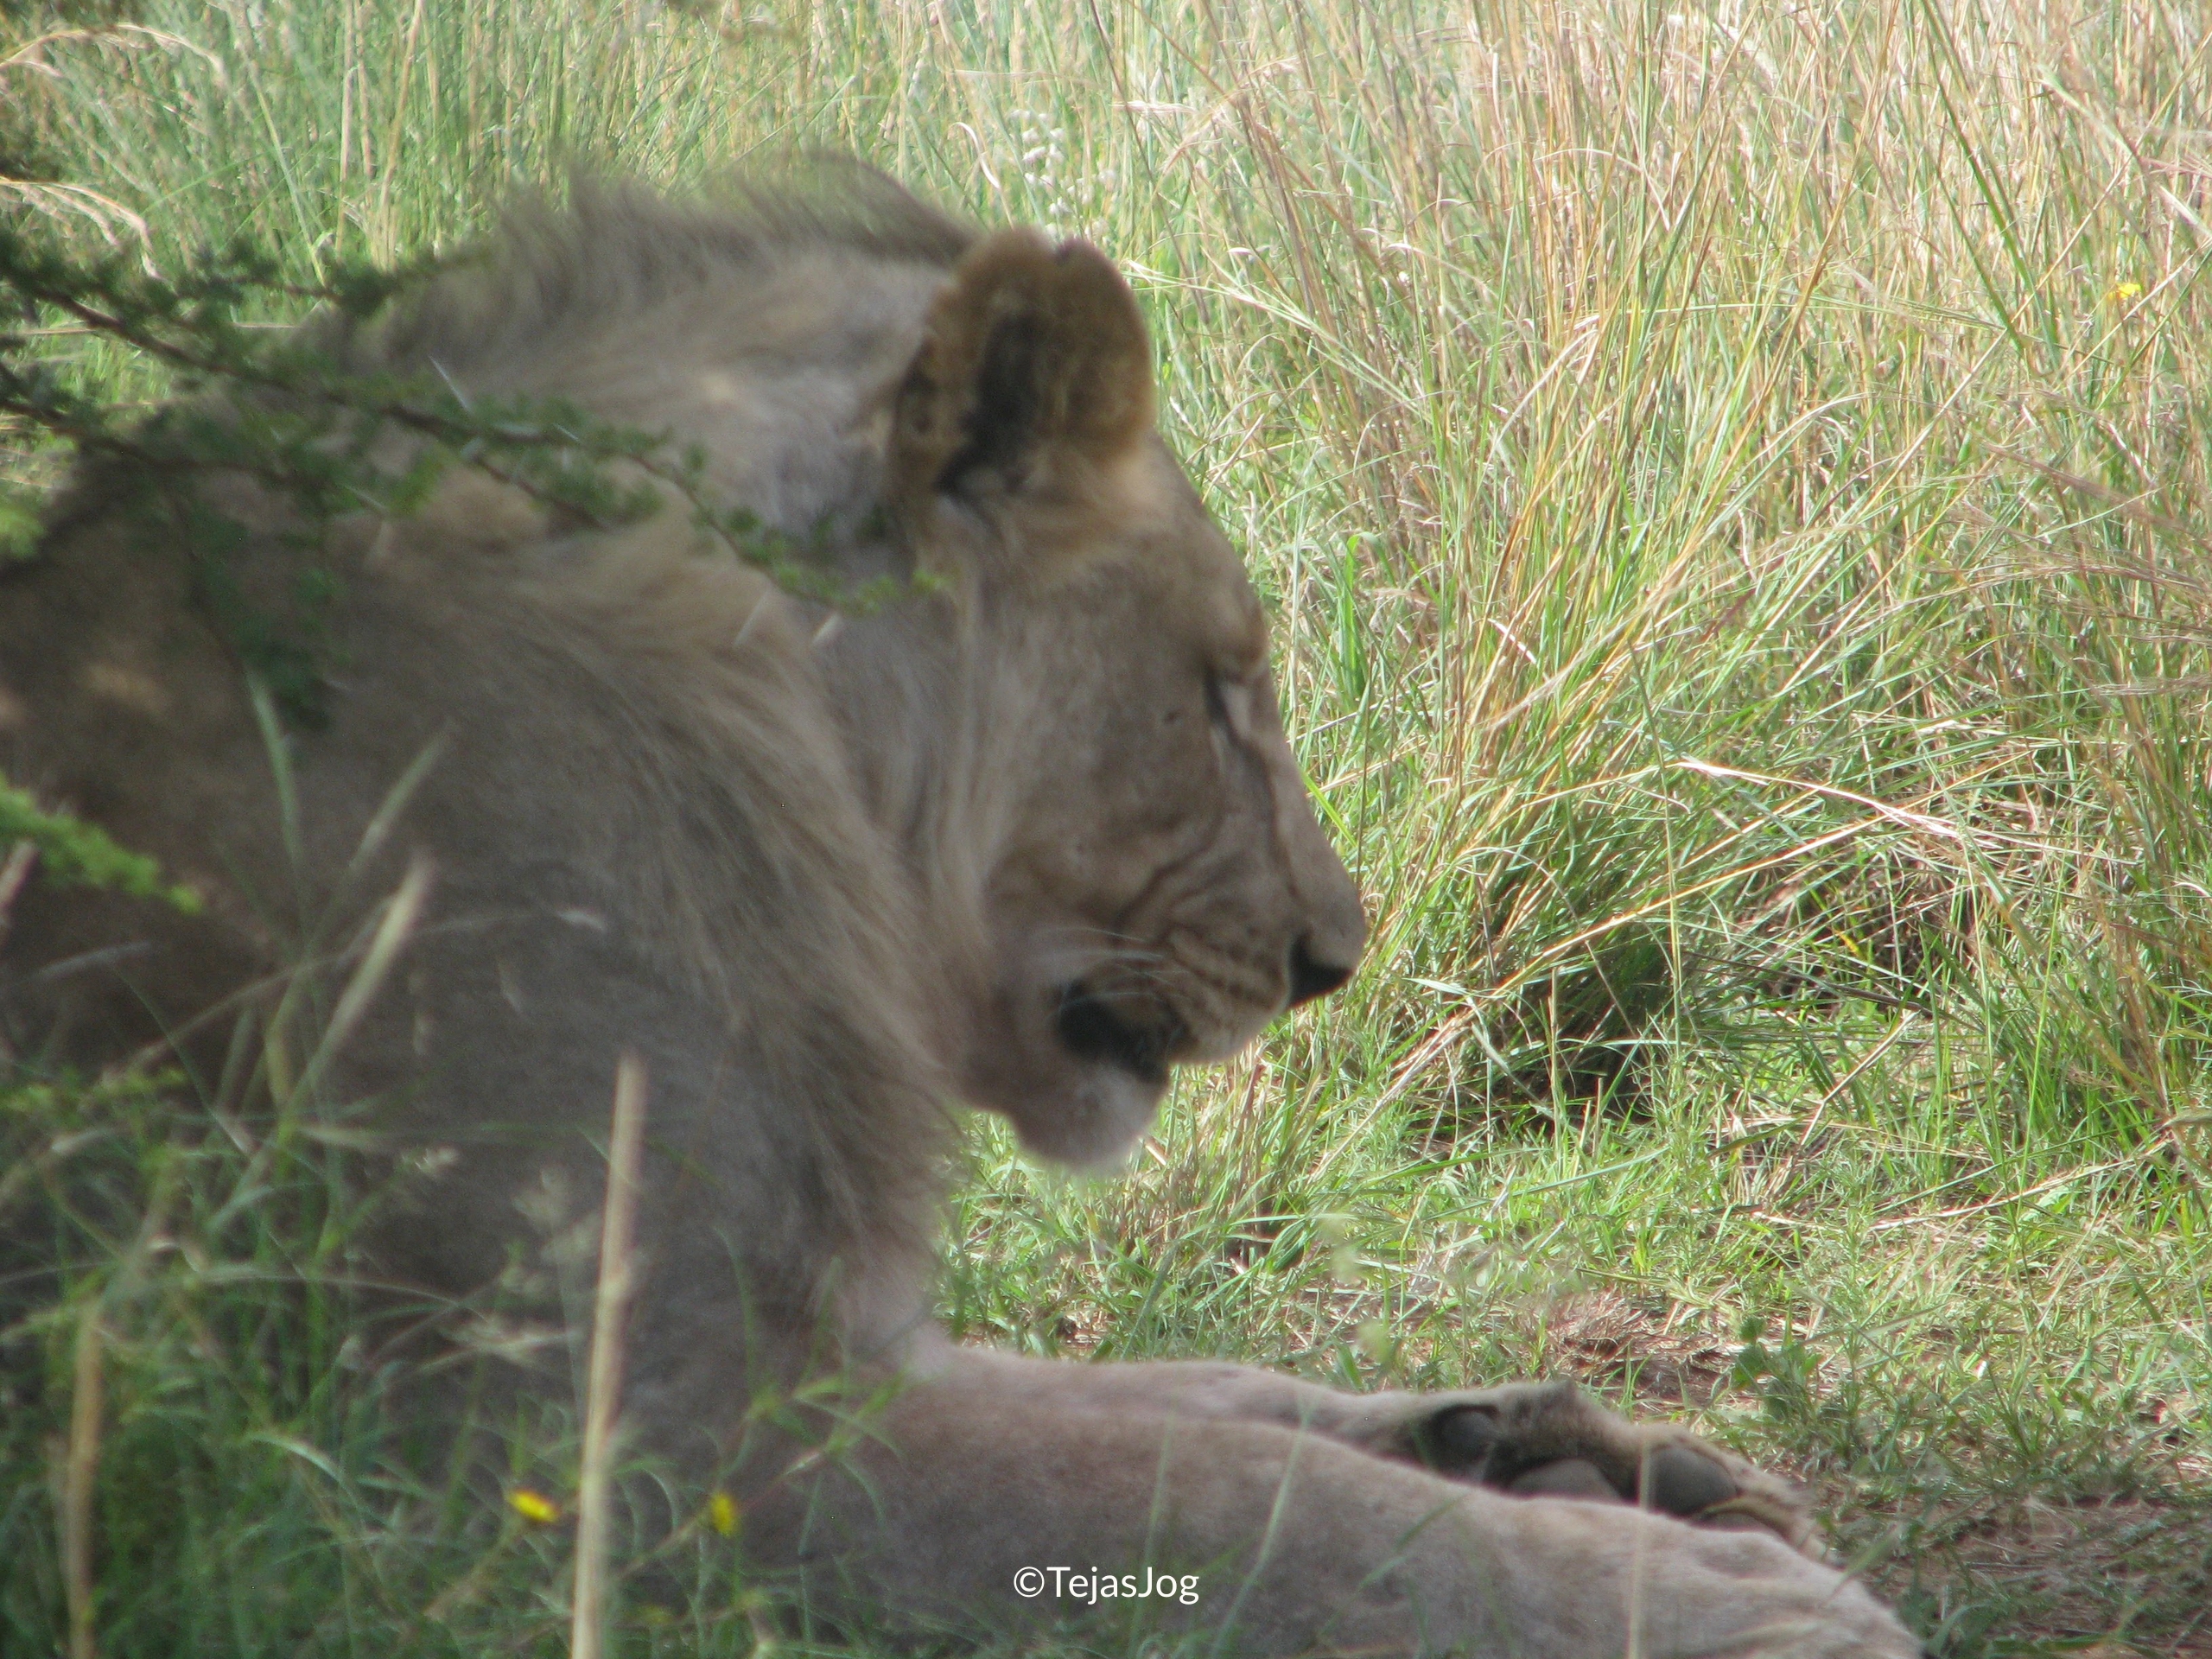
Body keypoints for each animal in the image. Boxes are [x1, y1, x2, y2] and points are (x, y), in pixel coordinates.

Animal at [0, 174, 1915, 1657]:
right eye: (1217, 689)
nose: (1335, 957)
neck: (801, 778)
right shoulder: (614, 1449)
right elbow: (1222, 1496)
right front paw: (1730, 1603)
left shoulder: (839, 1338)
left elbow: (1206, 1394)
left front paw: (1593, 1452)